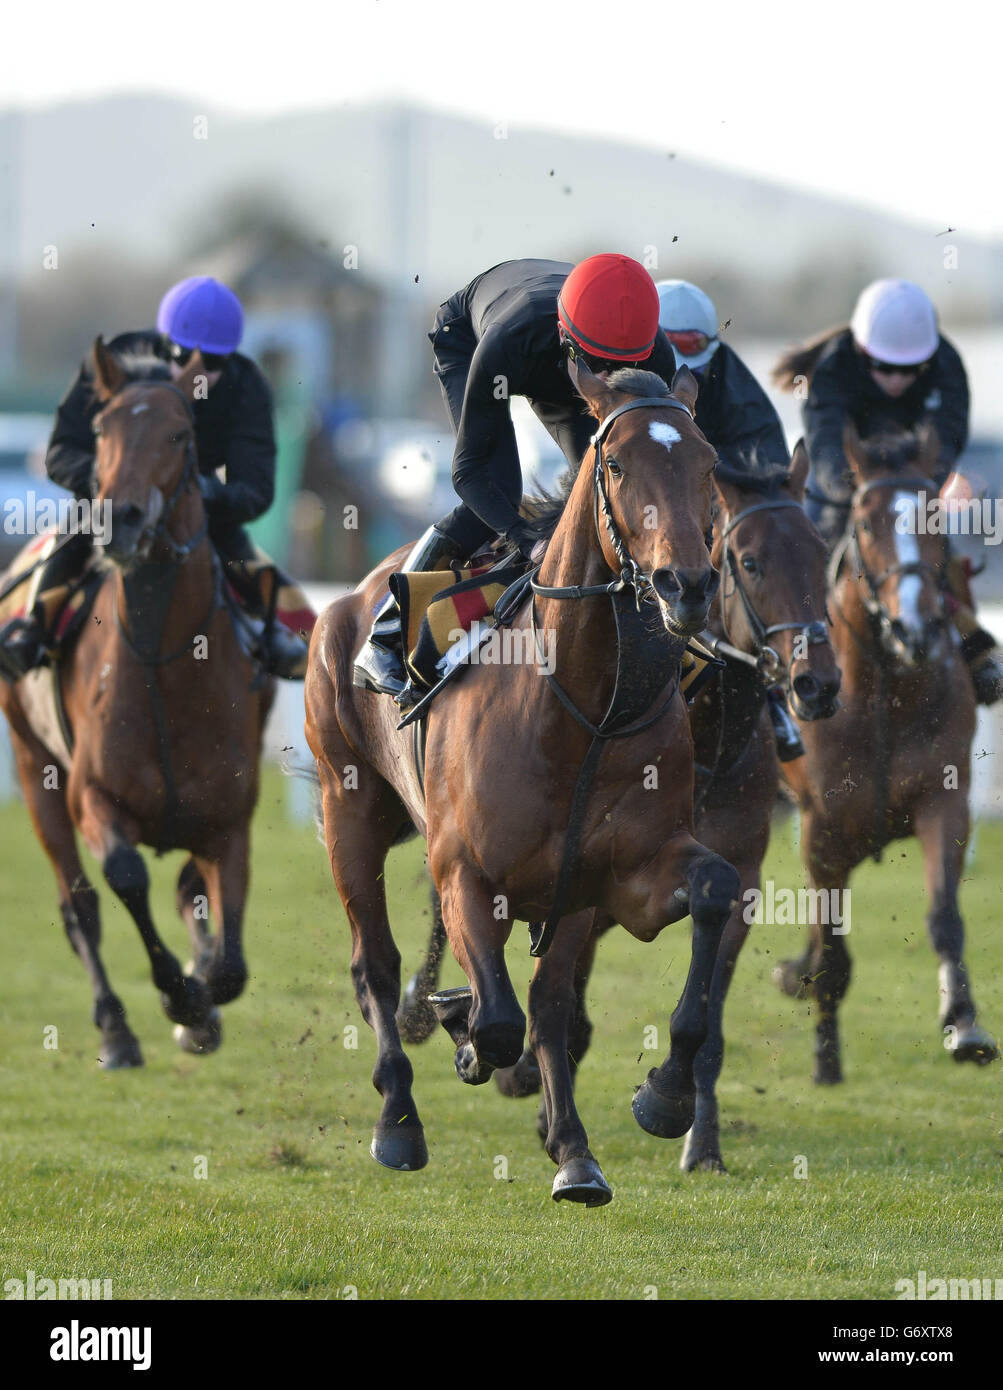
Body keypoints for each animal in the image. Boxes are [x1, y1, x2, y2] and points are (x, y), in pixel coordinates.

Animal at [0, 341, 273, 1067]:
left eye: (181, 434)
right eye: (102, 429)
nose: (116, 518)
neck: (164, 666)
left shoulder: (231, 821)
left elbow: (230, 961)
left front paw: (201, 1002)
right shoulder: (92, 796)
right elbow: (123, 877)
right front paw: (181, 997)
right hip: (33, 765)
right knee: (80, 905)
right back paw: (116, 1028)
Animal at [394, 444, 839, 1173]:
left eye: (821, 552)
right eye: (748, 562)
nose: (818, 682)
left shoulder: (719, 874)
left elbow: (704, 1012)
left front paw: (693, 1134)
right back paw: (426, 1010)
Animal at [772, 422, 1000, 1073]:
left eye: (935, 520)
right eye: (867, 524)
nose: (913, 630)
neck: (882, 698)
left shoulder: (943, 800)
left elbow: (944, 914)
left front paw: (964, 1024)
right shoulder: (822, 825)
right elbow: (832, 941)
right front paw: (825, 1049)